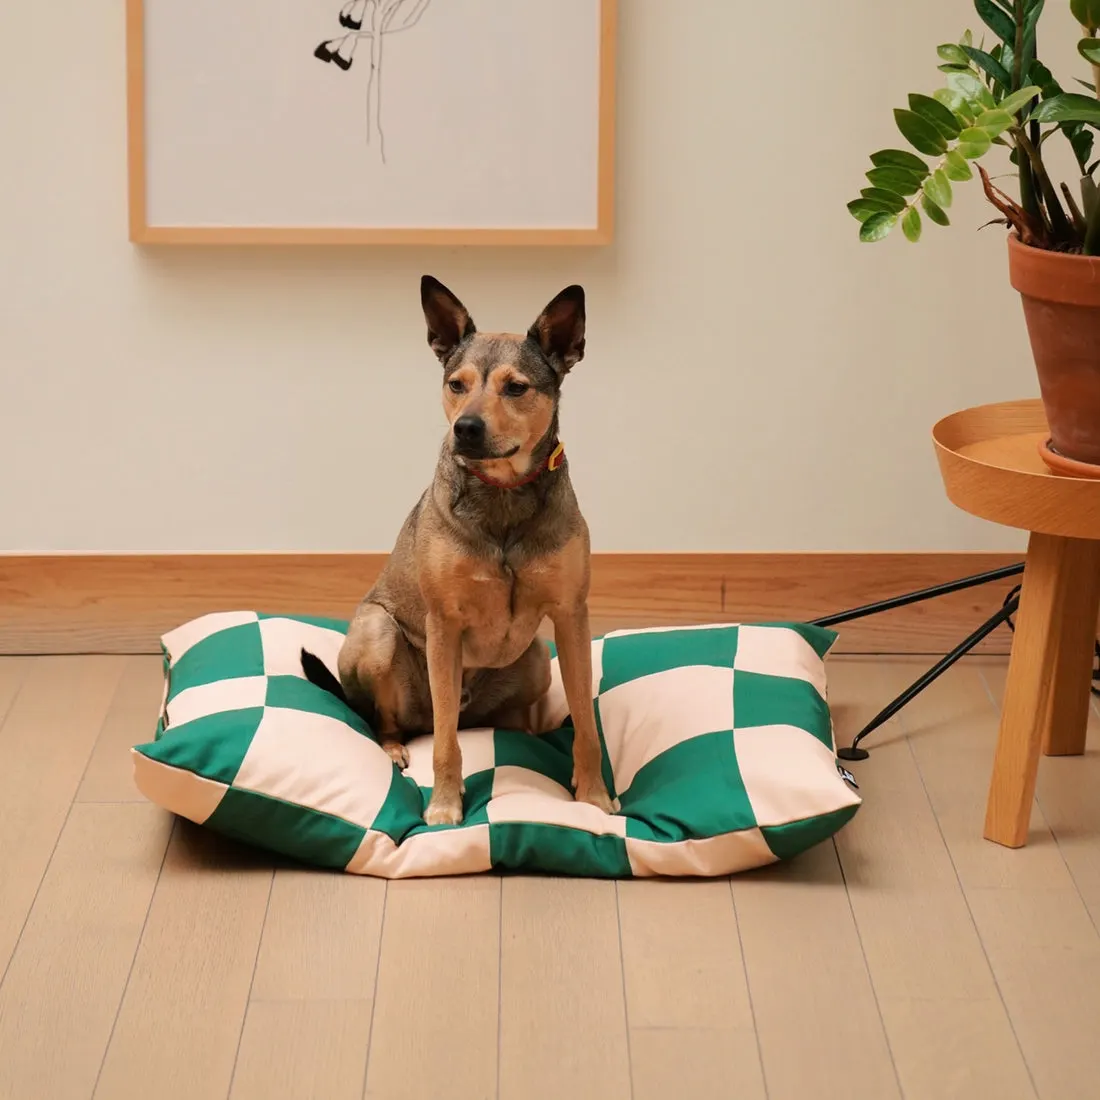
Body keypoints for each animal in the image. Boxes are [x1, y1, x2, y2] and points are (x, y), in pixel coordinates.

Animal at [303, 275, 620, 827]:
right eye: (457, 384)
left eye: (516, 387)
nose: (466, 428)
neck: (504, 494)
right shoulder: (444, 625)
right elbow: (446, 742)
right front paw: (445, 806)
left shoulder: (570, 615)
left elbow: (585, 720)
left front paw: (594, 796)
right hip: (379, 634)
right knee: (396, 721)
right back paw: (393, 748)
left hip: (536, 658)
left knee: (506, 715)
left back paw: (525, 732)